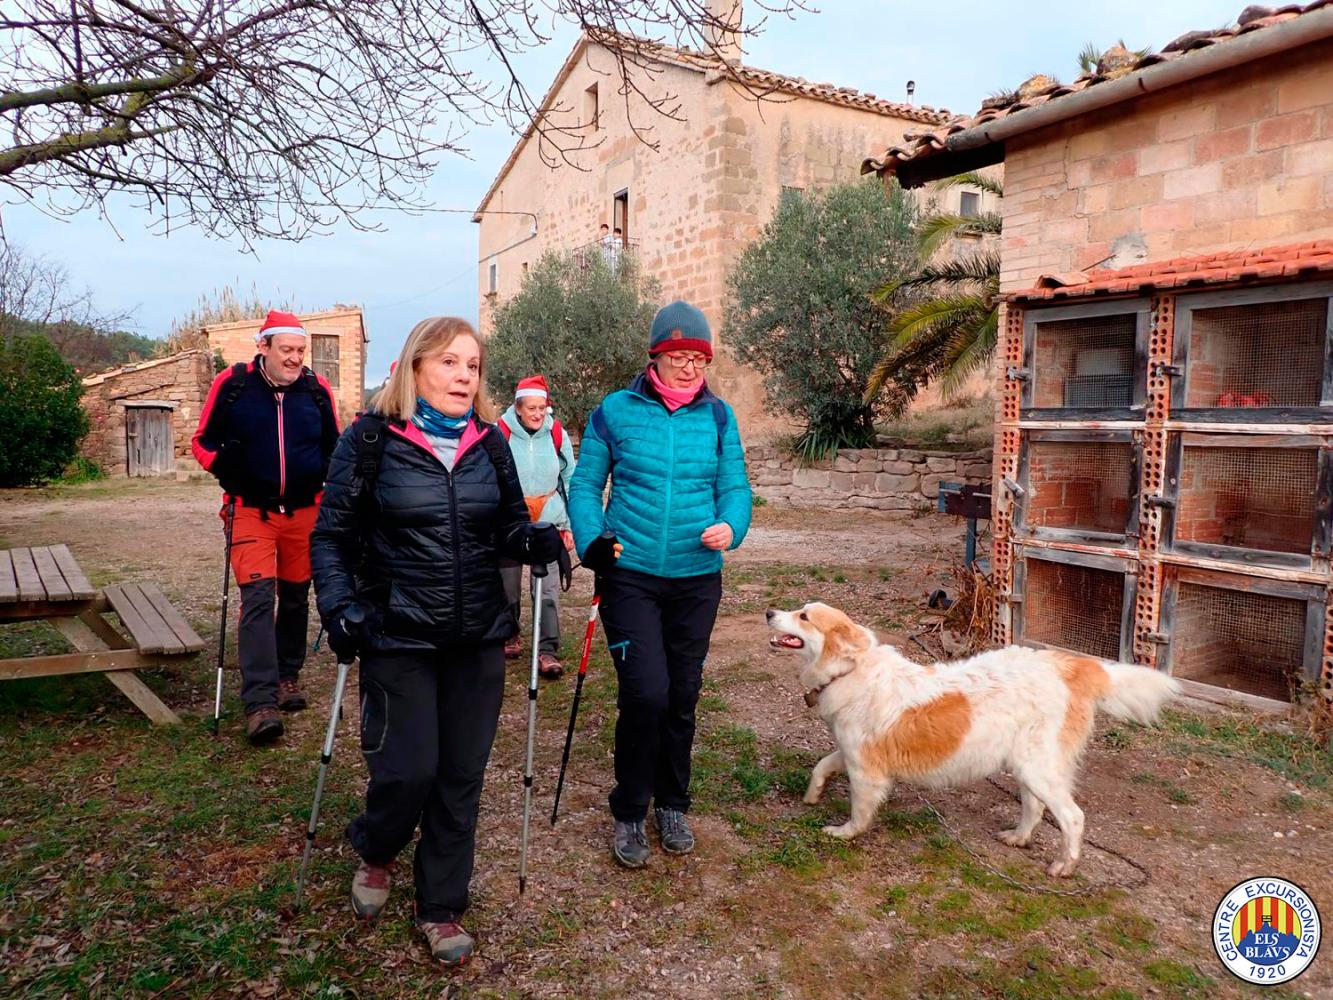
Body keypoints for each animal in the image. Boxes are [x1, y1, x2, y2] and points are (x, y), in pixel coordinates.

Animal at [766, 602, 1179, 876]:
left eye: (804, 617)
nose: (769, 612)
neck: (849, 670)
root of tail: (1066, 664)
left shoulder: (866, 771)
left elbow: (859, 811)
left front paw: (844, 832)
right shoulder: (850, 753)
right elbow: (822, 766)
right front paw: (812, 795)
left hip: (1038, 769)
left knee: (1073, 817)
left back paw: (1064, 864)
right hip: (1028, 769)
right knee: (1035, 808)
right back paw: (1018, 838)